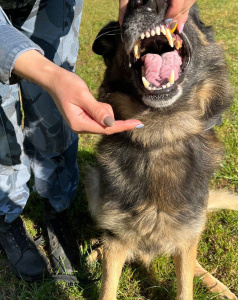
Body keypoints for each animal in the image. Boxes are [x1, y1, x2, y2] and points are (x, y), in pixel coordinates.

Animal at [84, 1, 237, 298]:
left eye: (192, 12)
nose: (144, 3)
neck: (160, 134)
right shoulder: (118, 239)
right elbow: (108, 287)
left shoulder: (186, 236)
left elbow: (185, 286)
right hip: (93, 183)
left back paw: (217, 285)